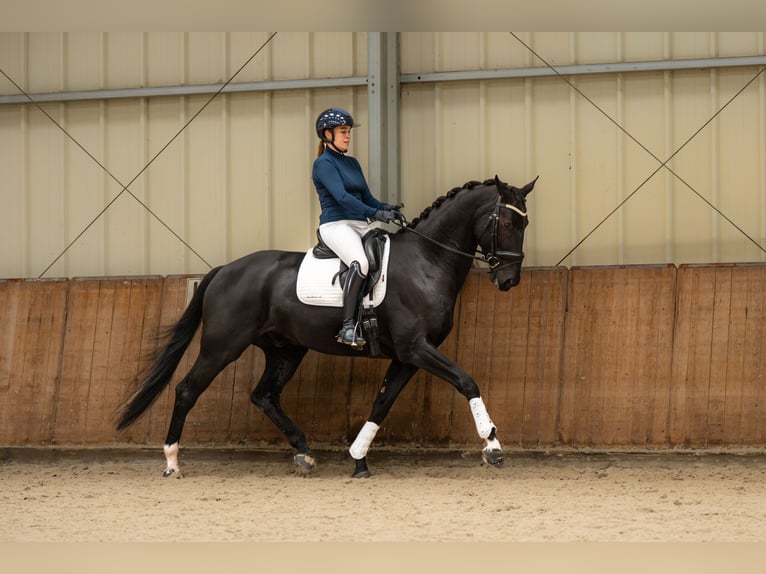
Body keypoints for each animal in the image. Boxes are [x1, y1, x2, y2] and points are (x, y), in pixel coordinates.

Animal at [116, 174, 537, 478]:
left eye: (526, 222)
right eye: (507, 221)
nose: (509, 280)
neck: (426, 261)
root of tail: (225, 270)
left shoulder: (408, 356)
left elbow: (382, 403)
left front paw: (358, 459)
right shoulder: (416, 347)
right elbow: (467, 381)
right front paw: (493, 447)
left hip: (286, 349)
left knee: (264, 395)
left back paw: (304, 453)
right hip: (222, 346)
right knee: (188, 389)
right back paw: (172, 461)